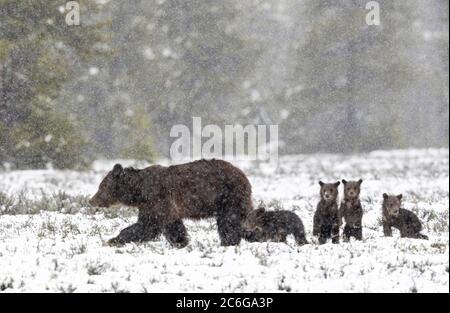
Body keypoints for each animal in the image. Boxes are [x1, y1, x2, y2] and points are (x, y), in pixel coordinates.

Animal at [89, 160, 255, 247]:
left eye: (101, 187)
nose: (91, 200)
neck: (139, 191)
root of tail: (244, 176)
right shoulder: (147, 206)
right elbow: (147, 225)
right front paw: (114, 239)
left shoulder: (158, 198)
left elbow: (163, 223)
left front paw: (180, 241)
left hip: (229, 196)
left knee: (229, 221)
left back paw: (229, 241)